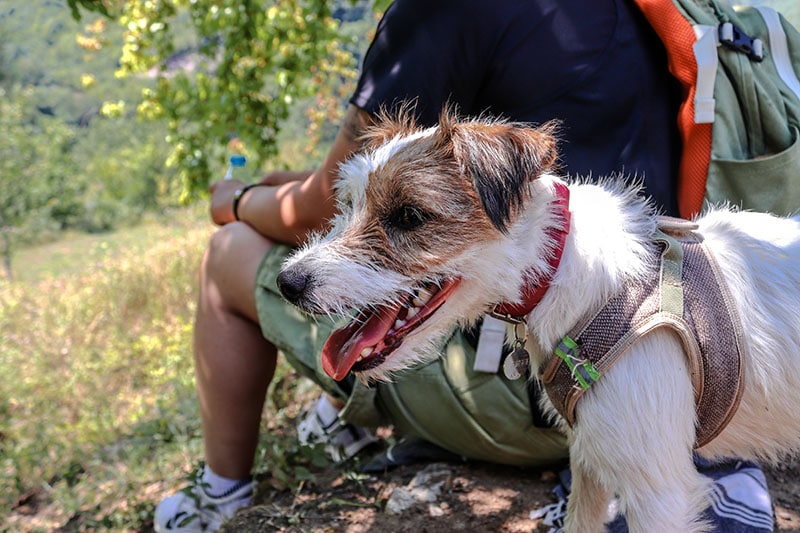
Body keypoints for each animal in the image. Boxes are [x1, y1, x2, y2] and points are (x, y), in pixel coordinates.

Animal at [276, 110, 800, 528]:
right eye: (348, 206)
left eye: (408, 216)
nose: (287, 282)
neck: (563, 266)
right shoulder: (589, 460)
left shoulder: (659, 494)